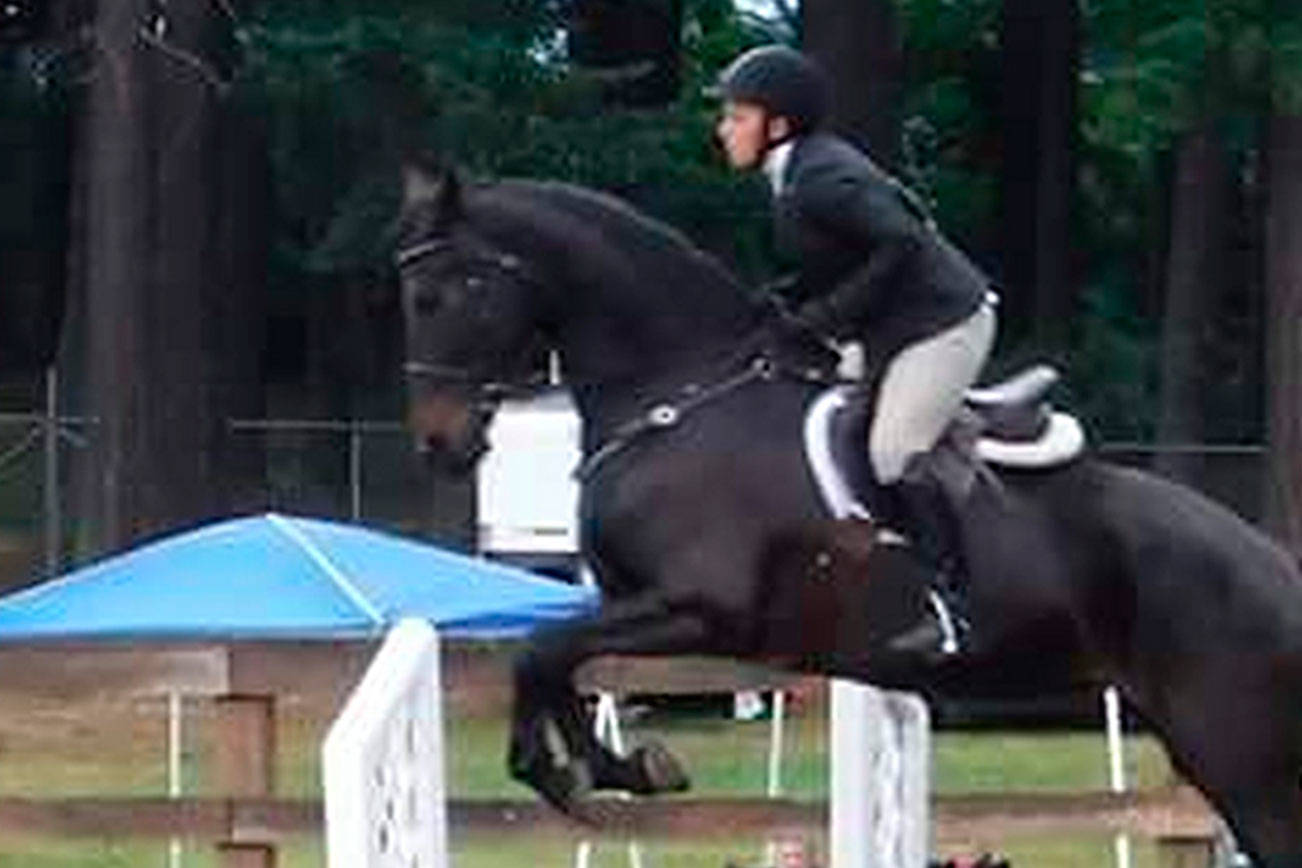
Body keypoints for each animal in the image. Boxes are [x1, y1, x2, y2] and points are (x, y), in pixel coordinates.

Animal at [395, 162, 1302, 865]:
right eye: (411, 294)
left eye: (445, 293)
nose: (438, 442)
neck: (679, 392)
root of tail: (1274, 565)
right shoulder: (625, 602)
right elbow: (555, 660)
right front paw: (619, 767)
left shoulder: (704, 609)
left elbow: (544, 653)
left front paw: (577, 770)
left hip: (1243, 752)